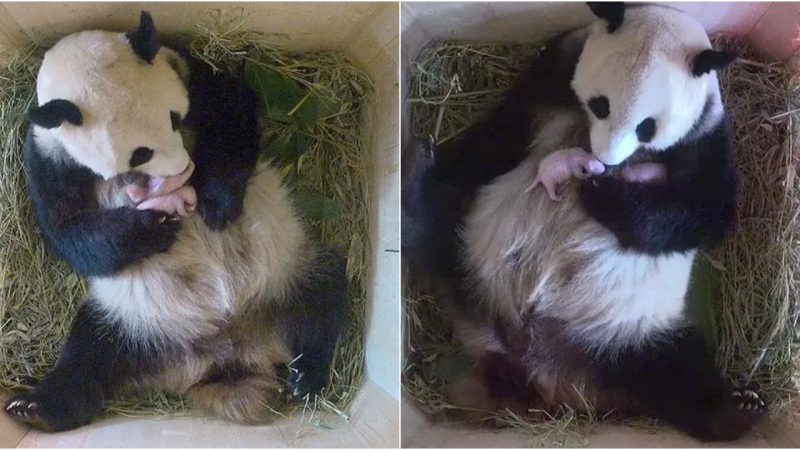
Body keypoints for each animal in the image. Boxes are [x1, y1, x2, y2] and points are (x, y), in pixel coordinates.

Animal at [4, 11, 350, 432]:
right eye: (138, 154)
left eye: (175, 118)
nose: (184, 169)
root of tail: (228, 351)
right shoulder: (49, 153)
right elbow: (68, 229)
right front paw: (153, 228)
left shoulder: (184, 68)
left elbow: (231, 109)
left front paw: (215, 202)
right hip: (130, 318)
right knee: (88, 358)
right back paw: (37, 406)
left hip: (286, 268)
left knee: (322, 297)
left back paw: (308, 374)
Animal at [404, 1, 764, 442]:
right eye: (601, 104)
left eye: (648, 127)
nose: (603, 160)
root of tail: (532, 365)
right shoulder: (552, 77)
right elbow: (501, 135)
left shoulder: (706, 137)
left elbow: (703, 210)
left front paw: (602, 193)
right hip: (474, 254)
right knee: (438, 226)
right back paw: (417, 176)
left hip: (626, 333)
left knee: (677, 373)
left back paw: (734, 410)